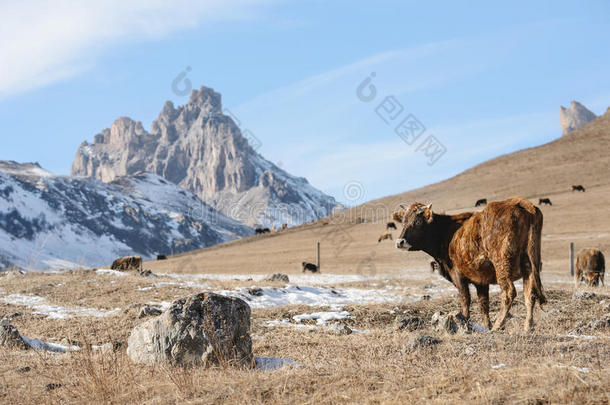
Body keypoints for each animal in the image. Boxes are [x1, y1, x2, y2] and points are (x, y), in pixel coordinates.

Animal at [392, 196, 544, 332]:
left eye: (417, 222)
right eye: (403, 222)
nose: (400, 242)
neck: (446, 232)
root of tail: (520, 202)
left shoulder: (458, 275)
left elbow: (465, 300)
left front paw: (465, 322)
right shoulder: (481, 280)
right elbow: (483, 305)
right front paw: (486, 326)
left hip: (501, 264)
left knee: (508, 292)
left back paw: (498, 325)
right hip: (529, 264)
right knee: (530, 294)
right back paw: (527, 326)